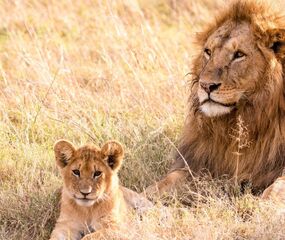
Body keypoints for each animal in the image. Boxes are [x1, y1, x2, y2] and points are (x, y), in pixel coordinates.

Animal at [145, 0, 284, 197]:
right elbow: (167, 180)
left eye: (239, 54)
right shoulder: (202, 162)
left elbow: (277, 187)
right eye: (208, 52)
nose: (205, 86)